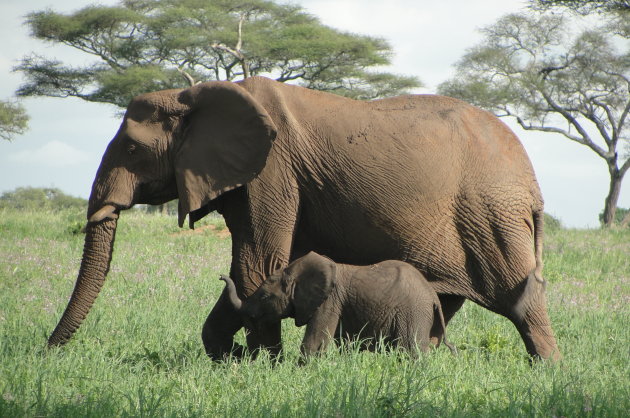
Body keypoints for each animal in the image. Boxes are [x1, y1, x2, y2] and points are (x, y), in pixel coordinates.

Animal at [220, 250, 456, 358]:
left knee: (410, 349)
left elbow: (314, 344)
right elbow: (345, 345)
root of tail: (432, 295)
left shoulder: (328, 301)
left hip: (413, 311)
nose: (221, 276)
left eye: (264, 297)